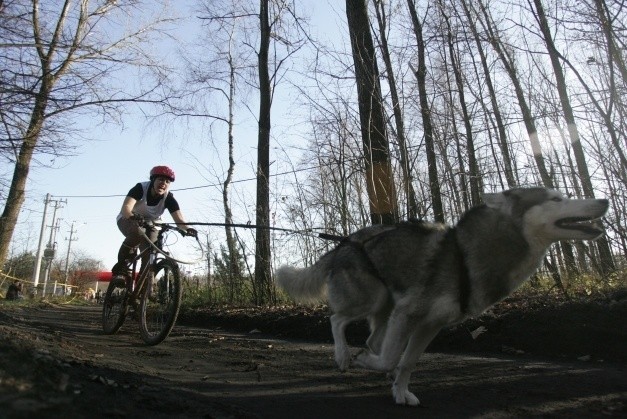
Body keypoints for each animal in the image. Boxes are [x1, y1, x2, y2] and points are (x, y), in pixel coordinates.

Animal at [274, 187, 608, 406]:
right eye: (556, 199)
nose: (604, 200)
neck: (465, 257)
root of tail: (345, 241)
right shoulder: (410, 315)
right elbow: (392, 357)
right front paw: (369, 365)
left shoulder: (429, 326)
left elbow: (407, 362)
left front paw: (399, 390)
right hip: (372, 300)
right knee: (337, 319)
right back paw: (344, 356)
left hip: (387, 311)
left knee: (370, 340)